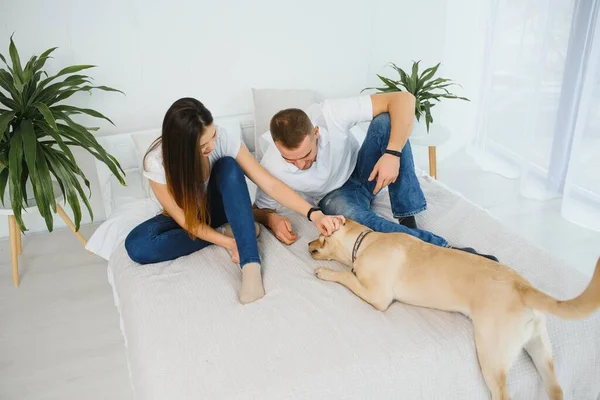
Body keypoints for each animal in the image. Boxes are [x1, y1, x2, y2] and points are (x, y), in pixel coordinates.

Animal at [310, 219, 600, 400]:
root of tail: (524, 287)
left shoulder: (377, 296)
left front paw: (326, 272)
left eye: (321, 238)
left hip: (491, 356)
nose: (308, 245)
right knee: (557, 389)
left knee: (502, 392)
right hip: (541, 351)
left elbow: (346, 276)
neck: (365, 241)